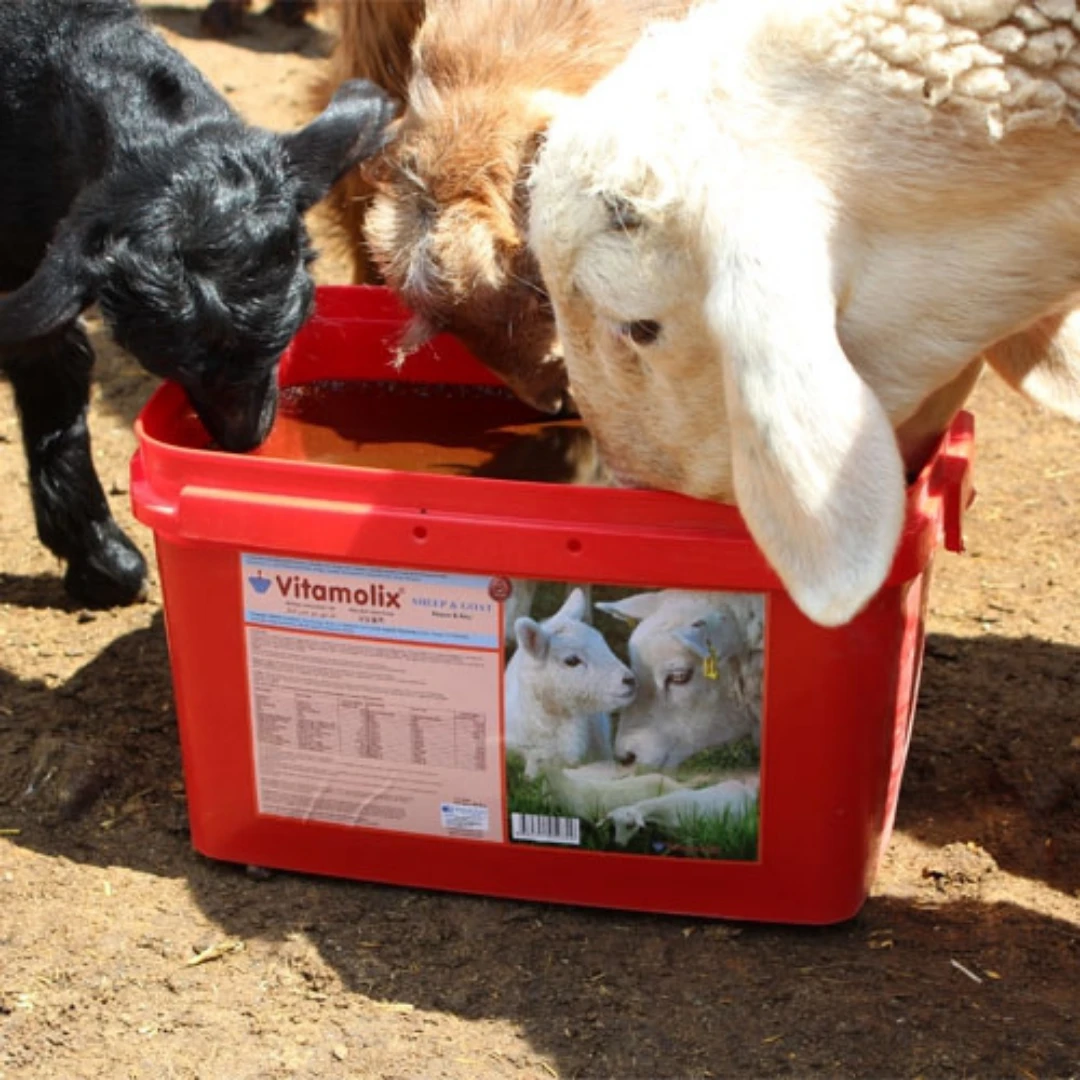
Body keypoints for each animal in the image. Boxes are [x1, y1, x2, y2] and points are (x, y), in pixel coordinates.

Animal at [0, 0, 393, 607]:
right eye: (175, 365)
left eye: (287, 336)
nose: (242, 442)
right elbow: (51, 358)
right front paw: (103, 558)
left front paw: (100, 562)